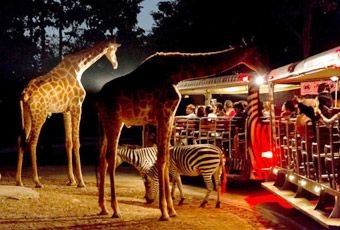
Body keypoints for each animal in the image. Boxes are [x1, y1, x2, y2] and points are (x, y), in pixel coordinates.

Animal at [17, 39, 121, 188]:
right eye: (113, 50)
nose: (115, 64)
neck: (79, 68)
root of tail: (25, 94)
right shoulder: (77, 106)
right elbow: (76, 142)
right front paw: (81, 182)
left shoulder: (65, 110)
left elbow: (68, 142)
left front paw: (71, 180)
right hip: (40, 114)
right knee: (32, 141)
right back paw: (37, 181)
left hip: (25, 113)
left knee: (21, 139)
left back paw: (19, 181)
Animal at [95, 45, 268, 220]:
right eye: (258, 53)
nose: (265, 70)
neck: (175, 73)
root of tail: (98, 99)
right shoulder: (164, 113)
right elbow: (162, 159)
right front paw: (164, 211)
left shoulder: (169, 116)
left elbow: (165, 158)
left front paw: (171, 209)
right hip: (114, 120)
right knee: (110, 157)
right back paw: (115, 209)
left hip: (106, 122)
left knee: (102, 157)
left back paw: (103, 207)